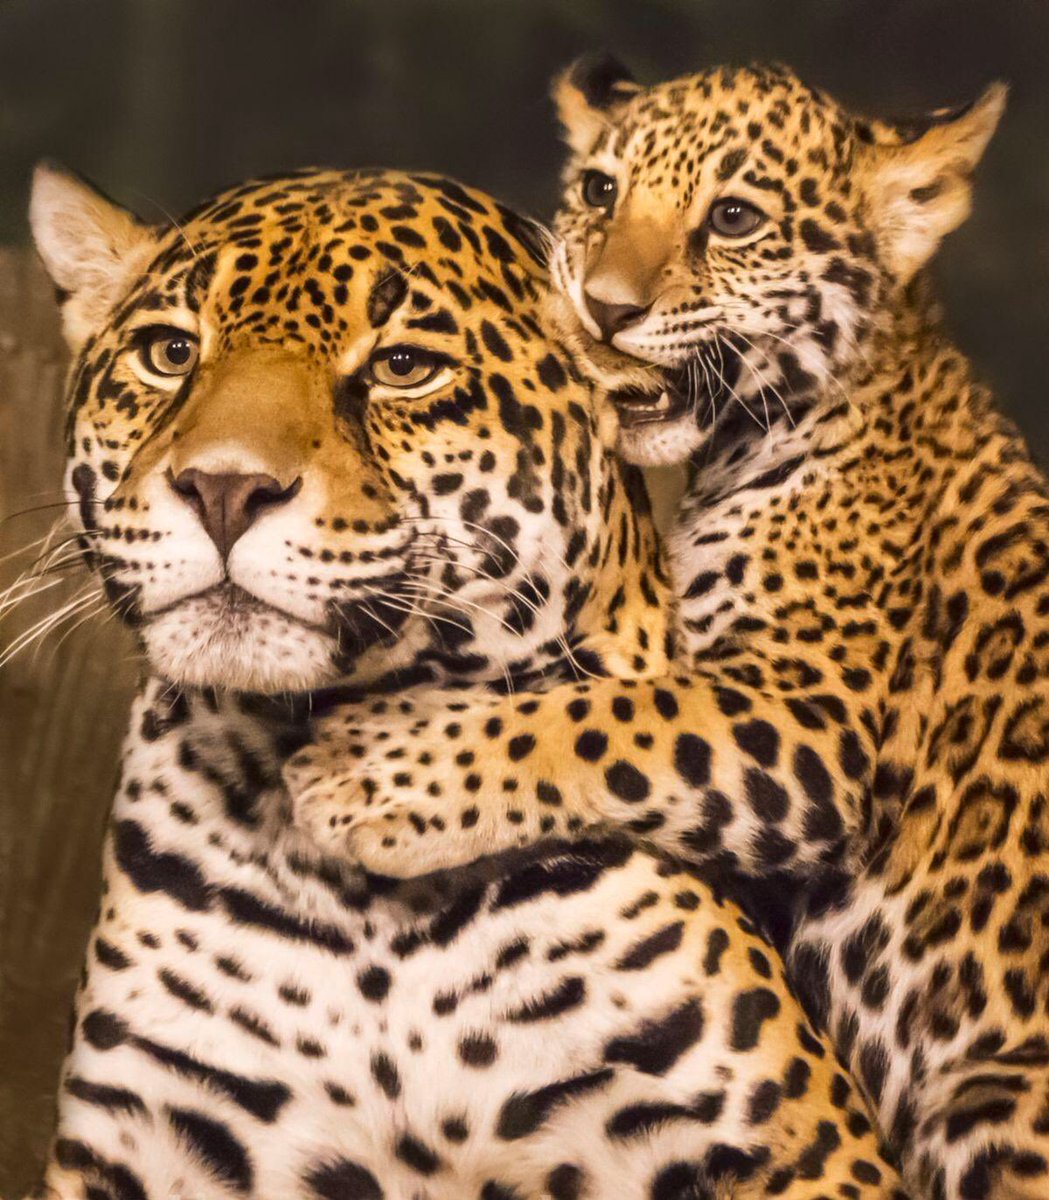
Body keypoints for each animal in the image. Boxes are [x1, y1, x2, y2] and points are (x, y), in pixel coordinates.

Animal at [20, 162, 905, 1199]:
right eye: (167, 353)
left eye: (405, 366)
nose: (224, 488)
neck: (359, 910)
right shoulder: (135, 1133)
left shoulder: (792, 1146)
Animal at [281, 61, 1049, 1200]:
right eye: (599, 191)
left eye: (732, 218)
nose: (603, 310)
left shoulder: (805, 718)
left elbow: (603, 716)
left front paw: (371, 769)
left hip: (987, 1094)